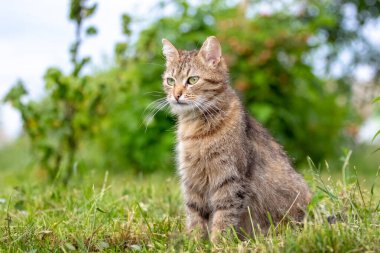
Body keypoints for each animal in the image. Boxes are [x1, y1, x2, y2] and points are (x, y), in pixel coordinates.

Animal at [160, 35, 312, 241]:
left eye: (192, 80)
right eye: (170, 80)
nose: (176, 95)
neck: (196, 128)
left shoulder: (230, 179)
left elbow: (223, 217)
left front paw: (218, 243)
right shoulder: (192, 180)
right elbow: (194, 216)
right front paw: (194, 242)